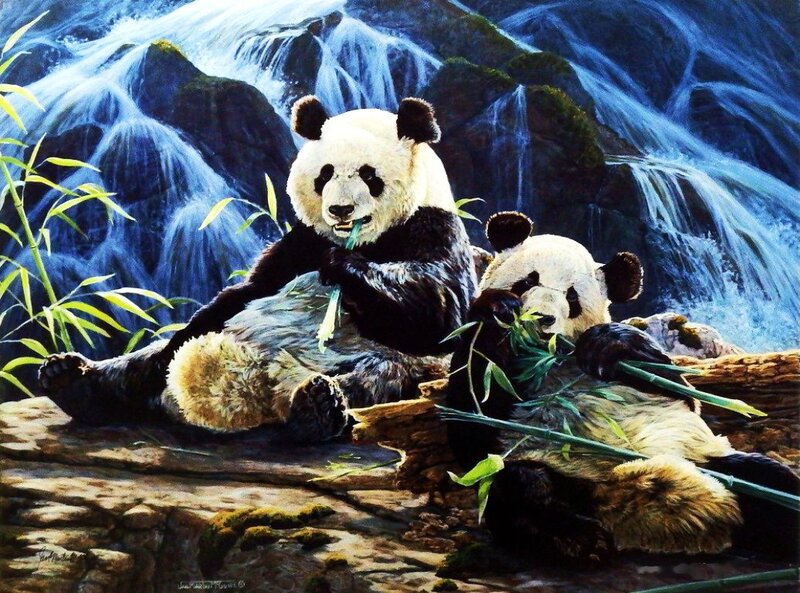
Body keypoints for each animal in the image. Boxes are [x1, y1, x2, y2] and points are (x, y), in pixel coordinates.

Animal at [38, 95, 478, 443]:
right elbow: (247, 290)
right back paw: (71, 380)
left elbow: (440, 312)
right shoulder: (299, 243)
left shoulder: (433, 228)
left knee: (376, 379)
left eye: (370, 175)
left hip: (404, 368)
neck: (362, 240)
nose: (340, 210)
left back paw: (318, 407)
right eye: (325, 174)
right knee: (146, 362)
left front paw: (343, 268)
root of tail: (260, 387)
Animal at [445, 211, 799, 565]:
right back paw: (578, 539)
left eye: (572, 298)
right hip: (565, 474)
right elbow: (472, 423)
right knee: (520, 487)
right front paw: (500, 311)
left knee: (767, 479)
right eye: (527, 282)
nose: (541, 318)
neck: (547, 360)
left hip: (707, 461)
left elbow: (681, 393)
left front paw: (607, 343)